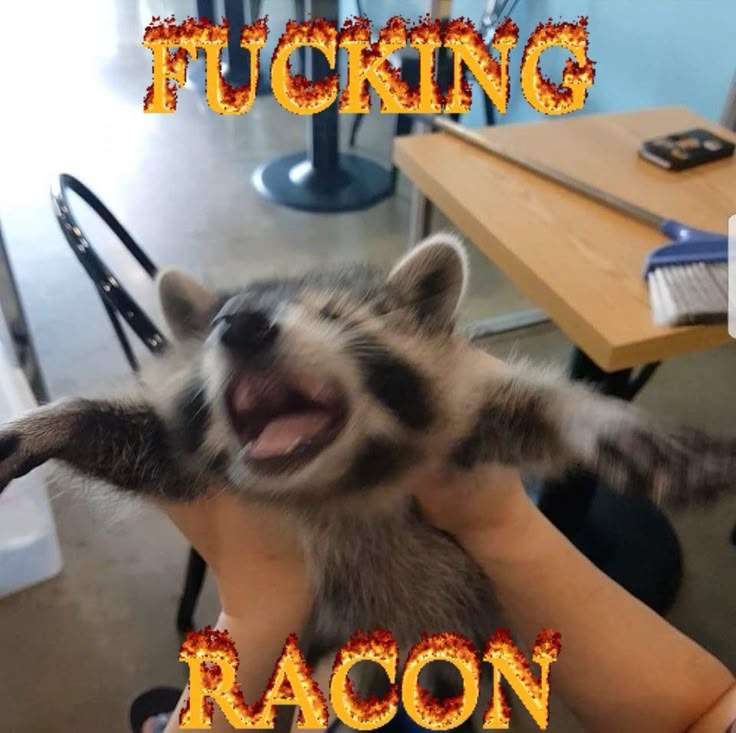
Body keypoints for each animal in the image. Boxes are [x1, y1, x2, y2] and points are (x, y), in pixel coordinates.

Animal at [0, 233, 733, 652]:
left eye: (333, 317)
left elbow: (529, 408)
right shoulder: (194, 464)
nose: (242, 325)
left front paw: (597, 418)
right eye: (215, 324)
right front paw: (59, 419)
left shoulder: (460, 436)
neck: (335, 482)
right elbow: (151, 446)